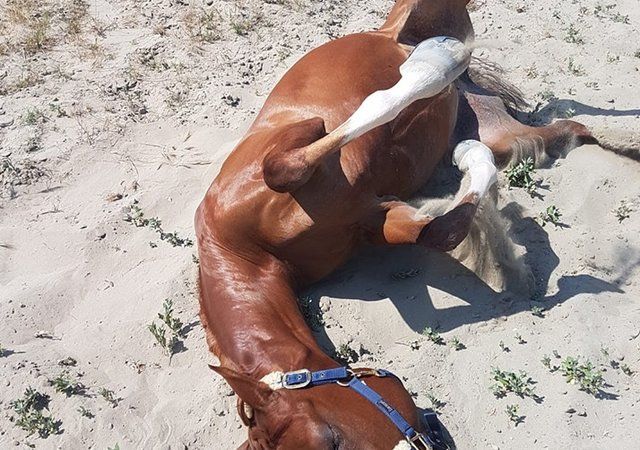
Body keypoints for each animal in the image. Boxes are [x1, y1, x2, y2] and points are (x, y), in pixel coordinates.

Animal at [195, 0, 597, 448]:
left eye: (330, 438)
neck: (254, 252)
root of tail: (384, 31)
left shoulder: (301, 145)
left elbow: (316, 146)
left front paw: (435, 65)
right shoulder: (373, 217)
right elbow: (443, 231)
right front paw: (470, 158)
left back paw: (441, 53)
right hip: (501, 129)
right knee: (569, 129)